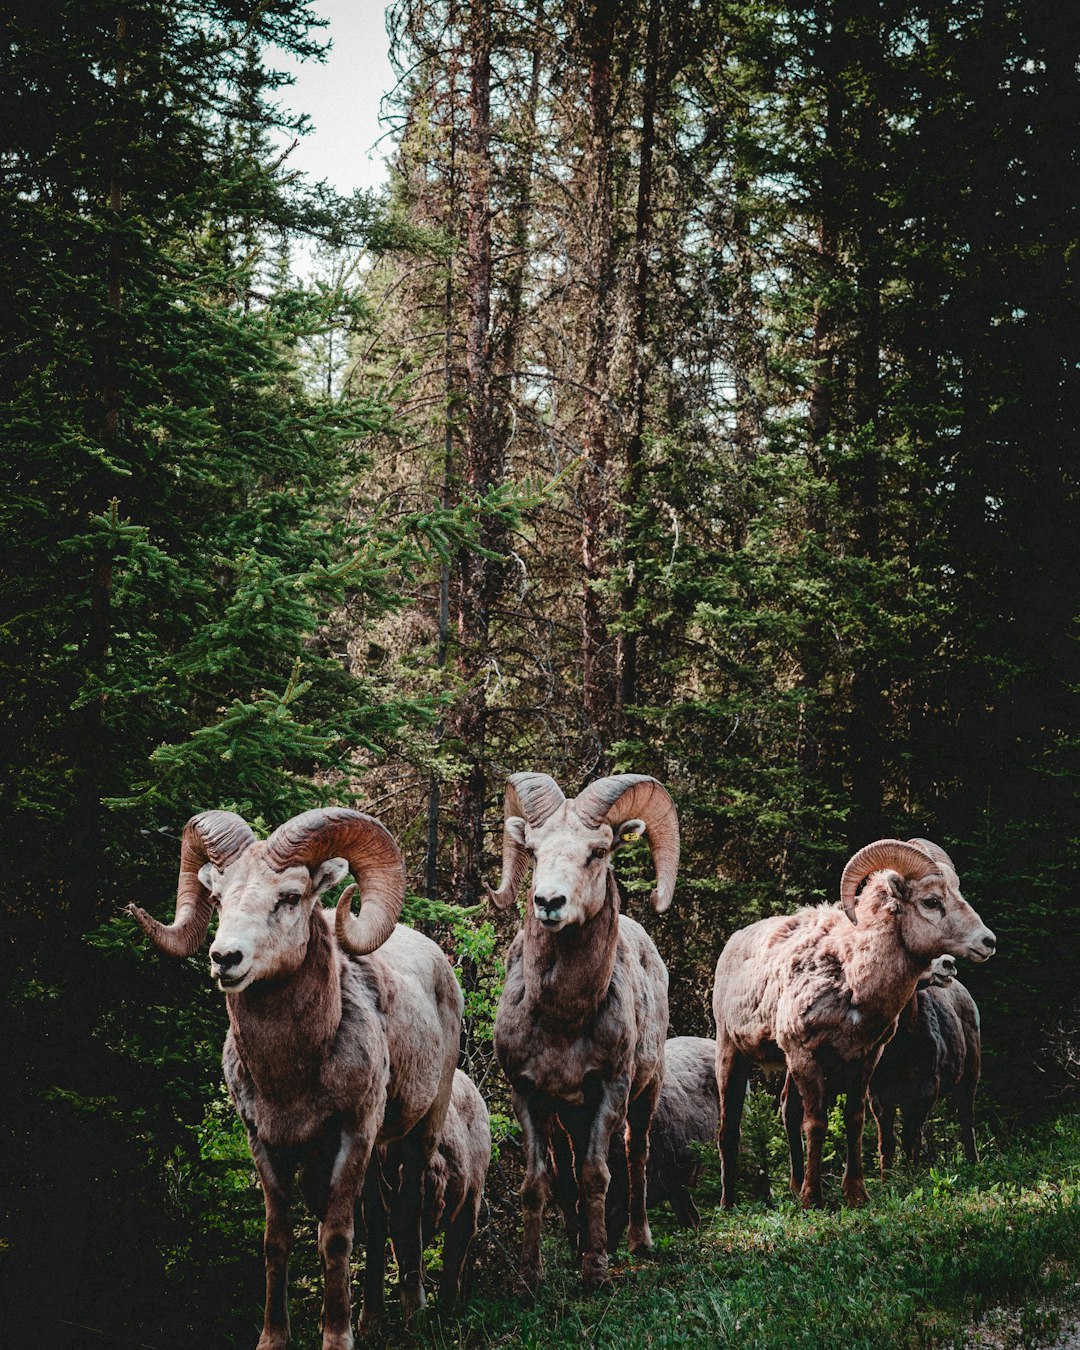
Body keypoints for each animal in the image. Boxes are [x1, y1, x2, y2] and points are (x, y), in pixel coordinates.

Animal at [128, 810, 461, 1350]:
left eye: (288, 897)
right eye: (218, 899)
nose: (225, 958)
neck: (290, 1078)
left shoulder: (352, 1135)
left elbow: (336, 1239)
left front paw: (338, 1337)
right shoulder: (265, 1144)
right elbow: (277, 1240)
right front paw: (274, 1337)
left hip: (419, 1131)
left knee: (404, 1212)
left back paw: (414, 1313)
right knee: (377, 1219)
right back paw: (372, 1320)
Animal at [486, 772, 675, 1285]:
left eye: (598, 851)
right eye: (533, 850)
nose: (549, 902)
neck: (561, 1020)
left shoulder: (611, 1088)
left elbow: (595, 1175)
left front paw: (596, 1270)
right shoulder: (529, 1095)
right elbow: (540, 1182)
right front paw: (531, 1277)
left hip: (645, 1093)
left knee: (636, 1156)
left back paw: (638, 1242)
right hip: (567, 1116)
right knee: (566, 1170)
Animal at [864, 950, 982, 1171]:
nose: (949, 962)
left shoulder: (926, 1086)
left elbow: (911, 1139)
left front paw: (912, 1175)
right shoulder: (877, 1092)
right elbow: (887, 1143)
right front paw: (888, 1177)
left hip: (970, 1073)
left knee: (966, 1120)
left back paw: (974, 1163)